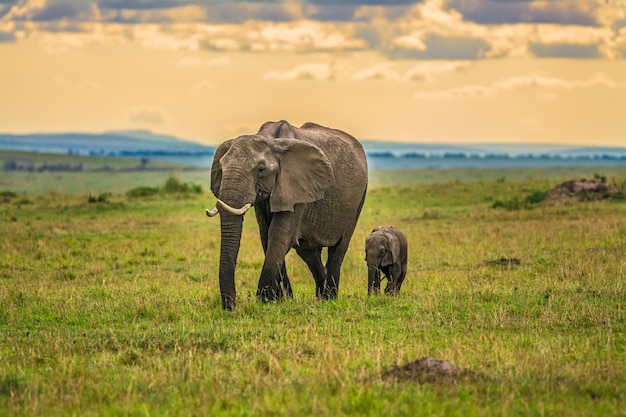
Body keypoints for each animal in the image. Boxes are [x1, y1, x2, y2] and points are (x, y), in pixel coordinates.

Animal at [207, 120, 368, 308]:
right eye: (222, 168)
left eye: (261, 169)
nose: (231, 307)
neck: (270, 140)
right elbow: (267, 237)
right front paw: (282, 300)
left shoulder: (297, 187)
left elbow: (279, 236)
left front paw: (264, 301)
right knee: (309, 254)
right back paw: (320, 297)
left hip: (358, 200)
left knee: (338, 249)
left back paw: (330, 298)